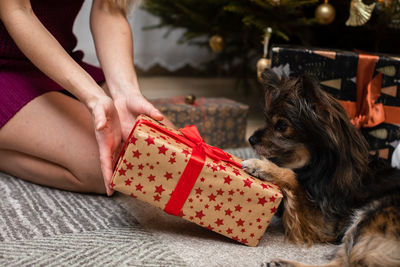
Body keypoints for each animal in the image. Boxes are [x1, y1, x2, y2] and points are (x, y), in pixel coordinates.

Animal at [241, 70, 400, 266]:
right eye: (267, 121)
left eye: (281, 126)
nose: (251, 139)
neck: (321, 167)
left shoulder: (325, 225)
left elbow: (292, 177)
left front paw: (259, 165)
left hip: (370, 214)